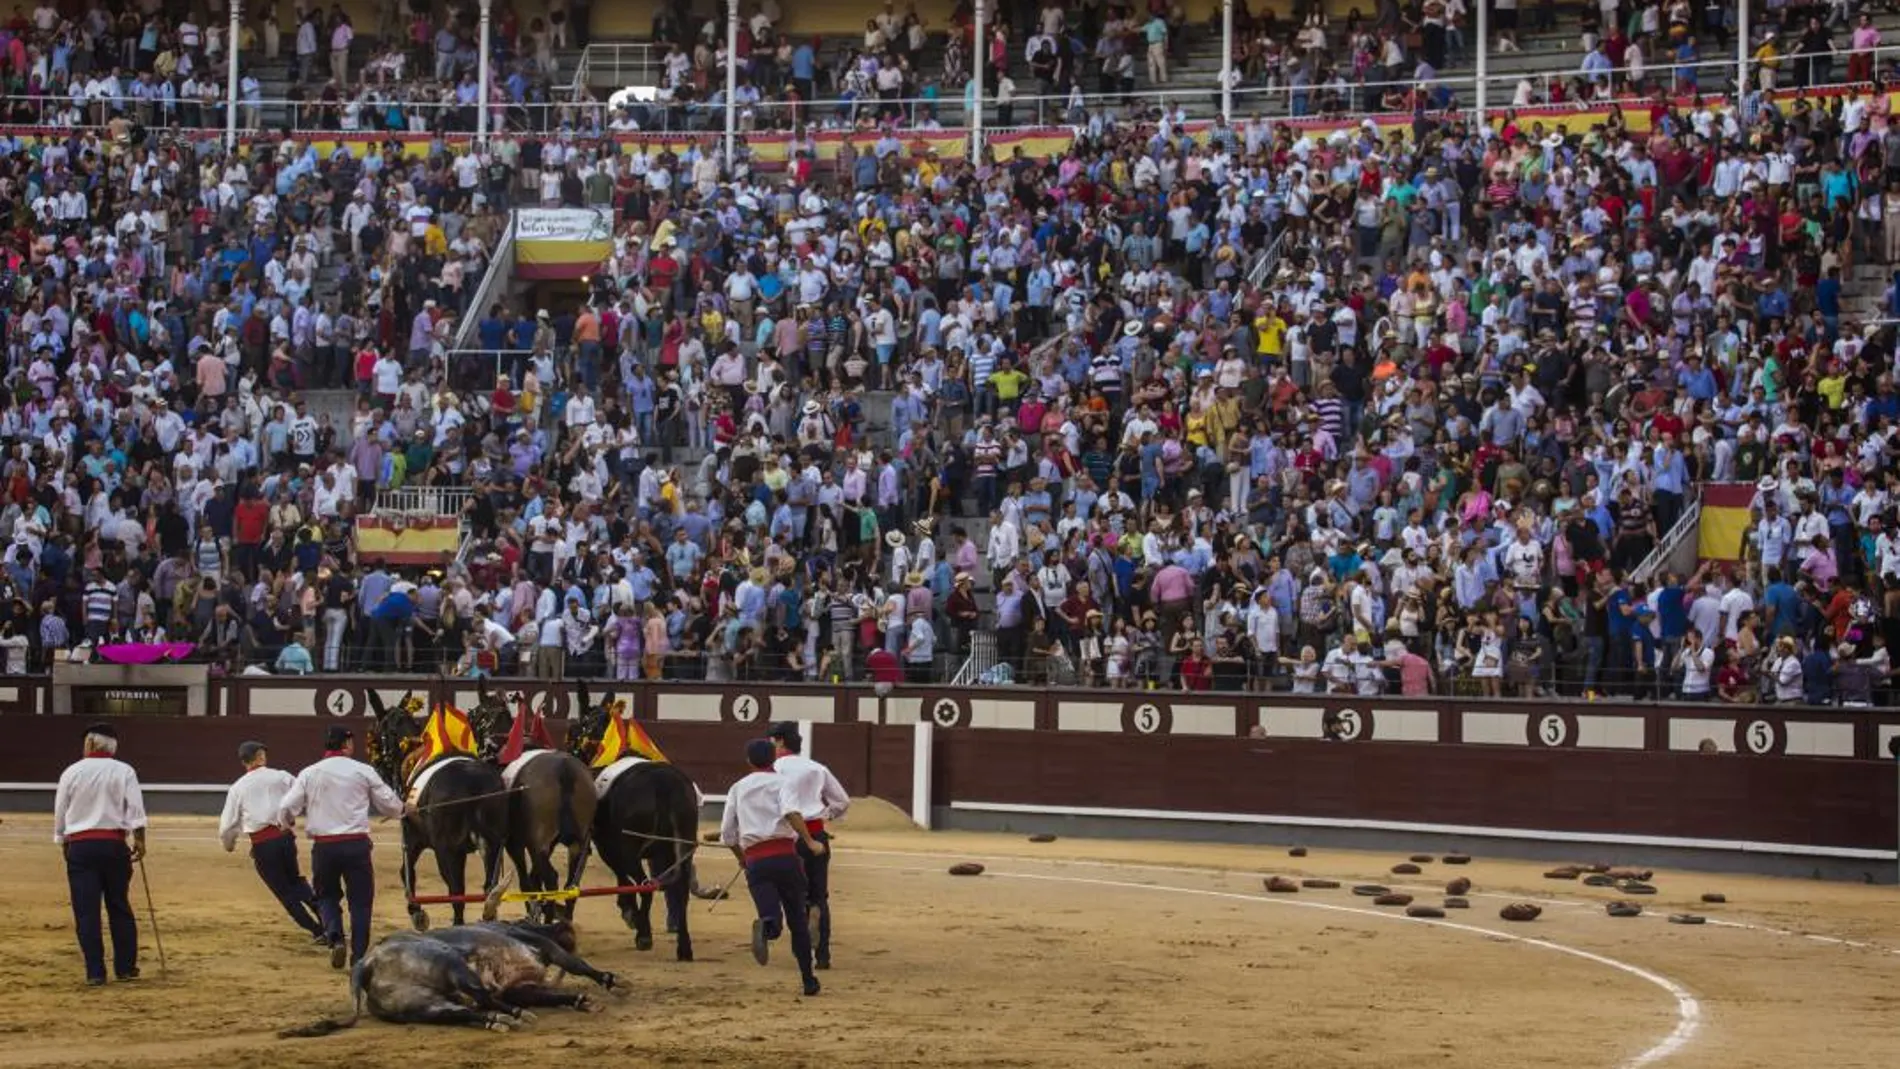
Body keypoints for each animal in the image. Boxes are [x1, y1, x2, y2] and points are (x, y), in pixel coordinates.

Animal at [279, 918, 623, 1040]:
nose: (564, 924)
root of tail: (368, 961)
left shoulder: (522, 988)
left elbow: (549, 994)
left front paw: (581, 1000)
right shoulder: (543, 947)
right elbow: (578, 965)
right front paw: (608, 981)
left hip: (422, 1006)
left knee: (463, 1012)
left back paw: (498, 1020)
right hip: (452, 964)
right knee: (482, 998)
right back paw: (515, 1016)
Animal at [362, 694, 509, 930]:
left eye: (377, 730)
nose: (376, 766)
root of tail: (473, 781)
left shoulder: (413, 839)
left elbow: (406, 873)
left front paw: (416, 912)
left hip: (447, 850)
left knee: (457, 892)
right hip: (492, 844)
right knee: (489, 887)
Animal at [465, 691, 592, 922]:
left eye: (477, 714)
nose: (484, 750)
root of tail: (565, 771)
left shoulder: (513, 843)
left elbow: (525, 880)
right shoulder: (547, 845)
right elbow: (534, 878)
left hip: (536, 842)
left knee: (551, 878)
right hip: (577, 843)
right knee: (571, 884)